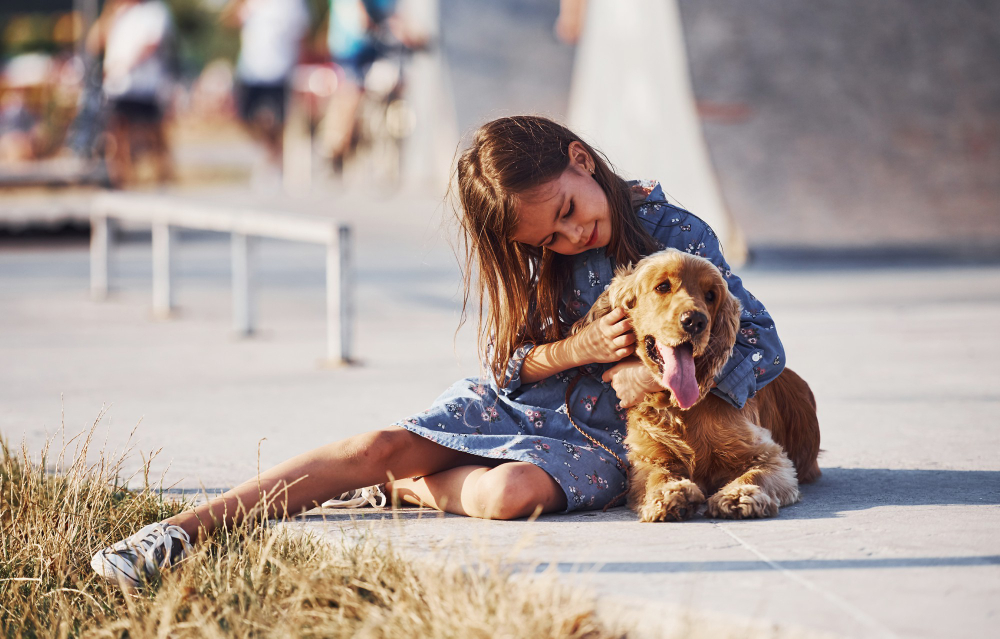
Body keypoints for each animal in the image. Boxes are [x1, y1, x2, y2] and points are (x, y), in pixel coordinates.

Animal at [580, 248, 820, 524]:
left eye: (711, 295)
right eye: (663, 286)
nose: (695, 321)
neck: (681, 409)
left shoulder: (769, 454)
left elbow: (757, 473)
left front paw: (739, 495)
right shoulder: (647, 457)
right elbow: (657, 475)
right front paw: (670, 494)